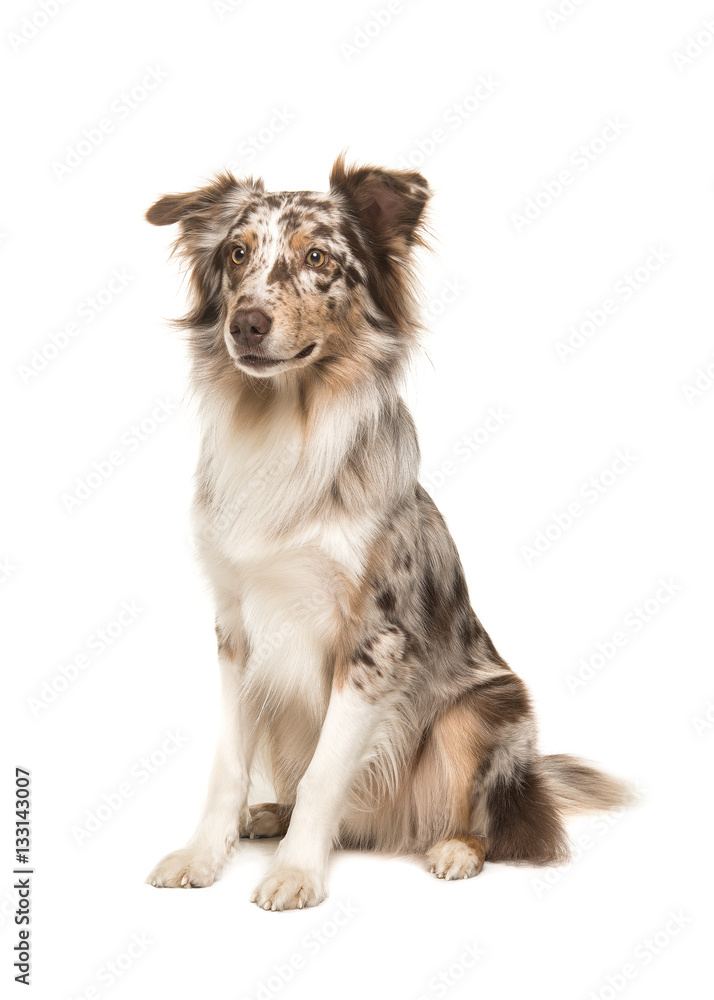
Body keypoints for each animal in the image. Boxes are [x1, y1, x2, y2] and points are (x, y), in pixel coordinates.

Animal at [145, 154, 628, 908]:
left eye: (318, 258)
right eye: (236, 254)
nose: (246, 325)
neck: (286, 427)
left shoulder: (376, 639)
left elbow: (325, 773)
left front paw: (296, 871)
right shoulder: (237, 630)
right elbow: (227, 765)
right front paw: (202, 855)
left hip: (485, 709)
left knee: (501, 825)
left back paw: (454, 848)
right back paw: (270, 815)